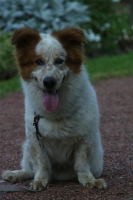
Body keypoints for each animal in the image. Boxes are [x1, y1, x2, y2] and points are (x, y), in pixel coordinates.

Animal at [1, 26, 106, 191]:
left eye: (59, 61)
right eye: (38, 61)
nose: (49, 82)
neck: (55, 114)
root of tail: (57, 175)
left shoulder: (85, 138)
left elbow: (82, 164)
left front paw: (89, 181)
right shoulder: (35, 139)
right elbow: (41, 164)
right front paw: (39, 181)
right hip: (27, 147)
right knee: (29, 169)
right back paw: (14, 175)